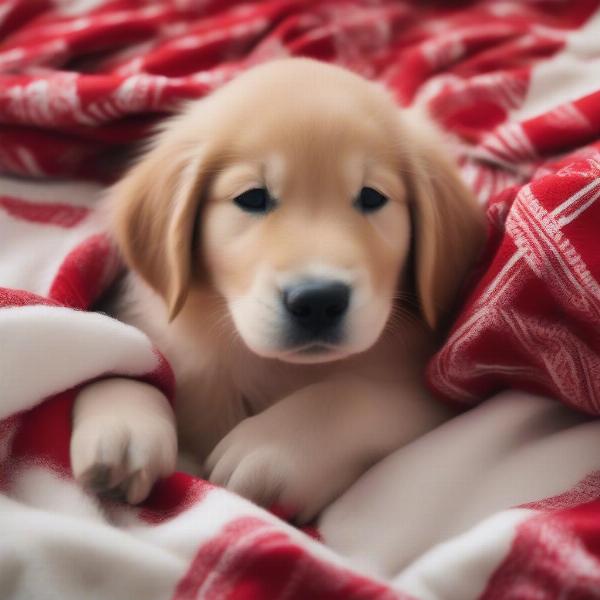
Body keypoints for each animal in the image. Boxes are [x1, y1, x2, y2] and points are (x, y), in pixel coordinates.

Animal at [70, 58, 486, 524]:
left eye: (372, 197)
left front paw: (275, 447)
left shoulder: (437, 391)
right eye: (252, 197)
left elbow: (351, 395)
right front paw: (122, 422)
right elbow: (127, 349)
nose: (318, 301)